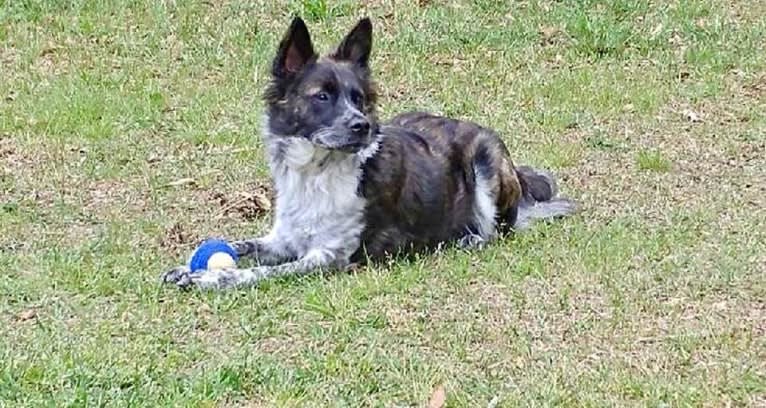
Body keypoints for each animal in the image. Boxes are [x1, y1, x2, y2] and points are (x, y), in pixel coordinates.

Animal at [165, 16, 580, 290]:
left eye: (358, 98)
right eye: (322, 96)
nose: (361, 125)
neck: (316, 173)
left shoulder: (329, 257)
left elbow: (258, 271)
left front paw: (214, 277)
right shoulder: (284, 238)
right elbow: (242, 245)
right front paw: (189, 266)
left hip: (486, 161)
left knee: (496, 231)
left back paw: (470, 238)